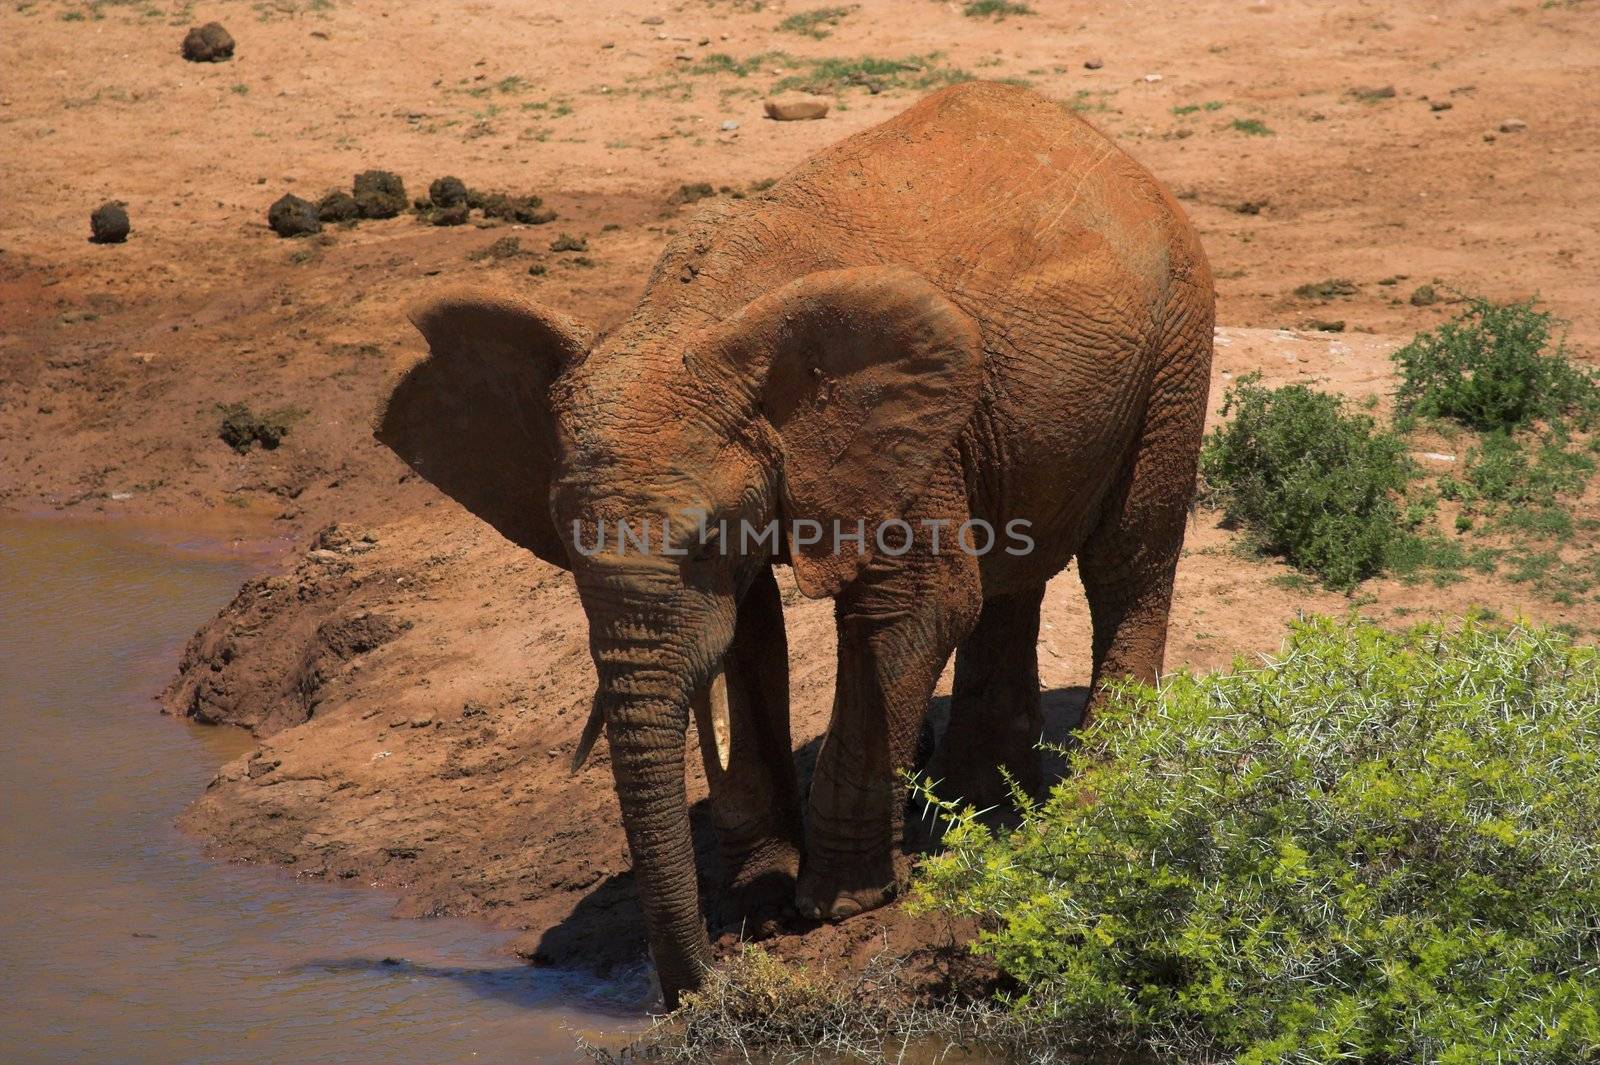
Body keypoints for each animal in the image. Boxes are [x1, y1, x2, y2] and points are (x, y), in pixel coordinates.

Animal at [374, 83, 1209, 1004]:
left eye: (705, 539)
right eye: (566, 546)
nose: (699, 984)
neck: (702, 314)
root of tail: (1118, 154)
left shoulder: (908, 435)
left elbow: (910, 608)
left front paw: (836, 907)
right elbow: (749, 630)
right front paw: (762, 892)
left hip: (1177, 336)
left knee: (1127, 556)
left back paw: (1099, 788)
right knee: (1013, 574)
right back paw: (980, 809)